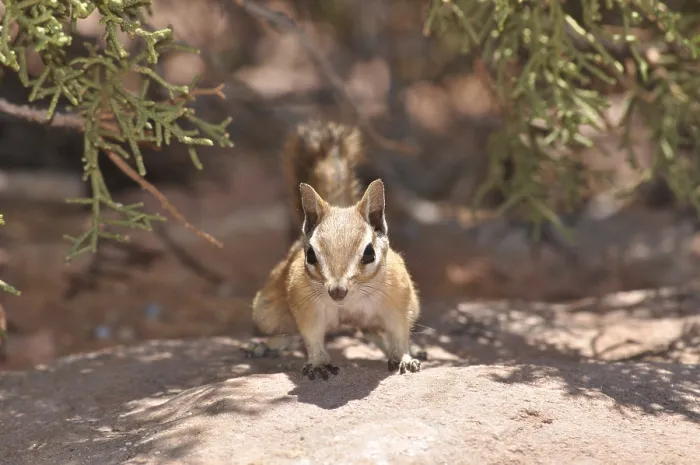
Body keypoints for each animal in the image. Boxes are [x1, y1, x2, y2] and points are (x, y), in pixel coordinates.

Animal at [245, 120, 423, 381]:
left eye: (369, 253)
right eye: (310, 255)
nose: (337, 292)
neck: (348, 303)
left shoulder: (398, 304)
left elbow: (400, 334)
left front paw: (404, 357)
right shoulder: (307, 310)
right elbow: (312, 338)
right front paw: (319, 363)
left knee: (371, 332)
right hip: (266, 311)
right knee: (291, 334)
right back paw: (264, 346)